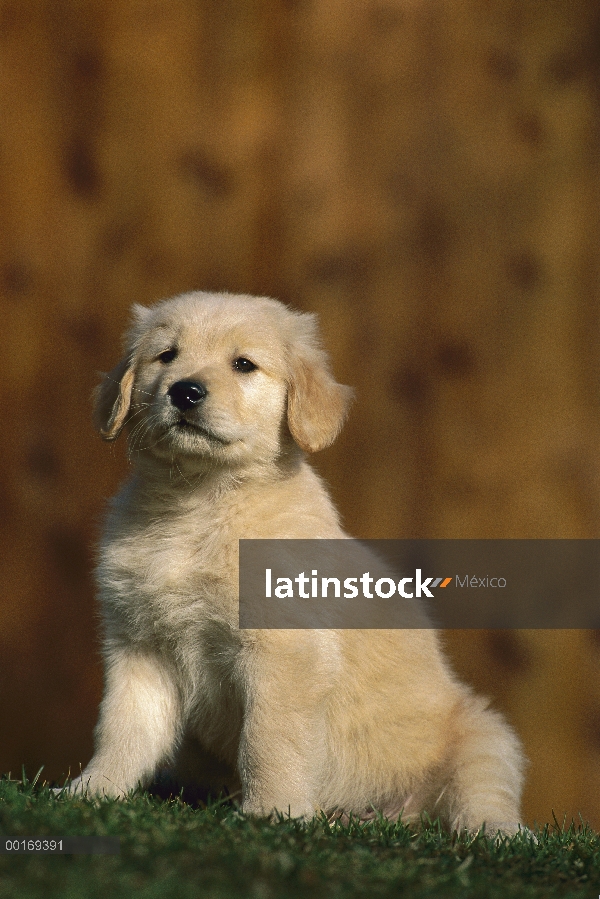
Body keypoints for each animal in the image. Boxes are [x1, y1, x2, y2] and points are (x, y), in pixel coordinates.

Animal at [65, 292, 524, 832]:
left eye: (243, 364)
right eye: (166, 356)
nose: (185, 392)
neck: (202, 502)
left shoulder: (284, 652)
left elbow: (269, 738)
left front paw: (271, 810)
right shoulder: (141, 645)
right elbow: (123, 727)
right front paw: (93, 791)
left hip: (482, 737)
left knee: (483, 803)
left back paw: (493, 832)